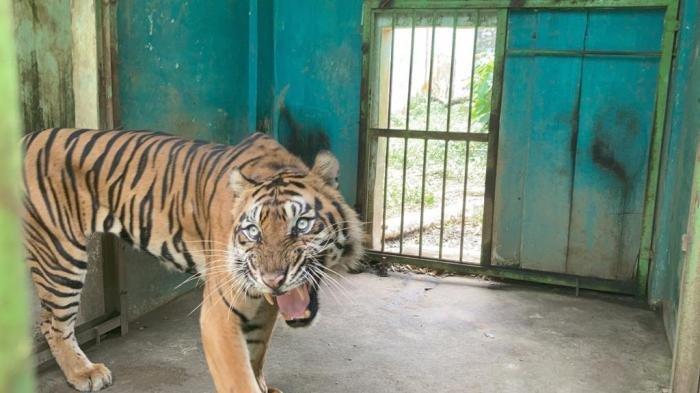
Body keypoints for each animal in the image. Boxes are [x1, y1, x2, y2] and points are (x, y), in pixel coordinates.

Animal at [23, 127, 360, 390]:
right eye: (253, 231)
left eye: (301, 225)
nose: (273, 279)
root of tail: (28, 137)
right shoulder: (219, 315)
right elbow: (238, 377)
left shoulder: (264, 308)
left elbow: (256, 352)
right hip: (60, 255)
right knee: (52, 322)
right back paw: (84, 372)